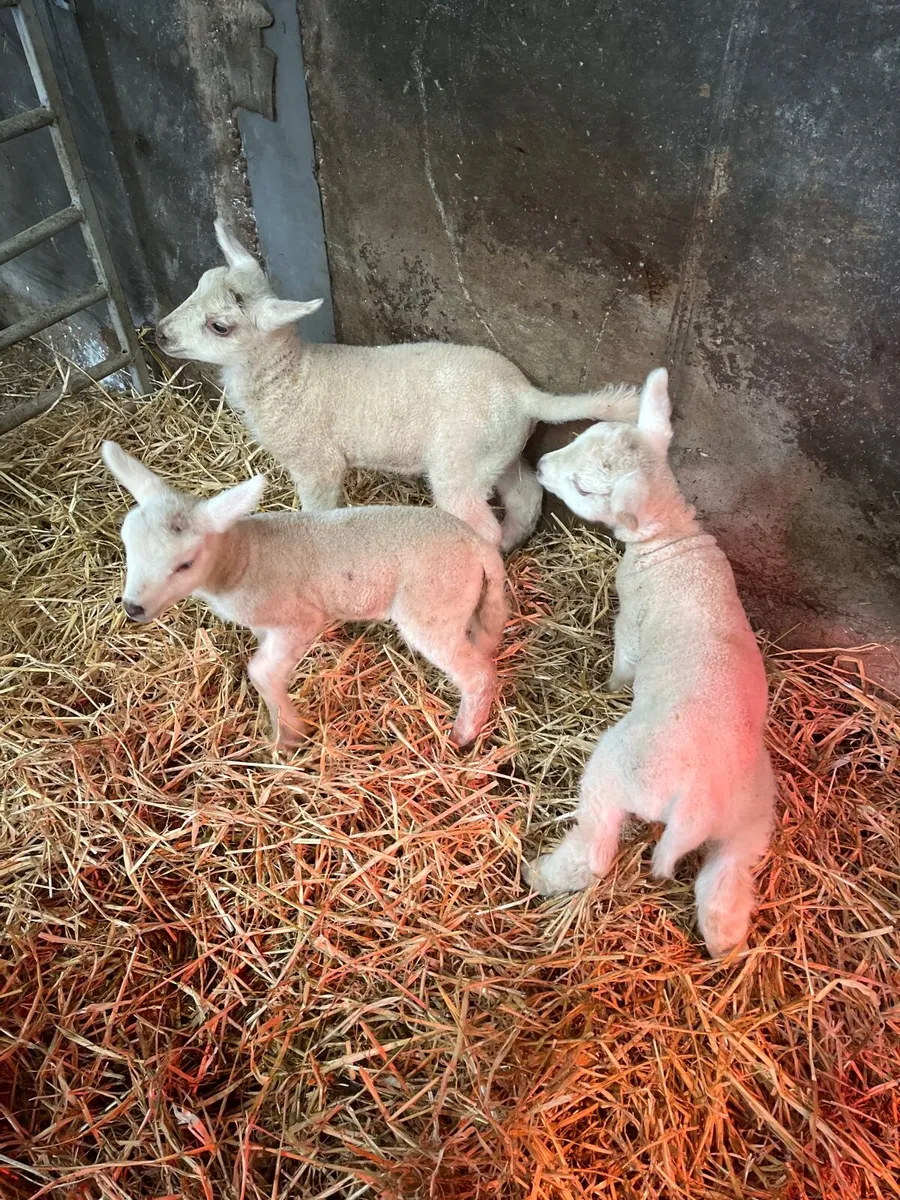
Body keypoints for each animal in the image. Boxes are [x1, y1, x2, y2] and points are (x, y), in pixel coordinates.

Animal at [101, 442, 507, 751]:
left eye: (185, 564)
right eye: (127, 545)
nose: (133, 607)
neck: (242, 560)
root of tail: (476, 544)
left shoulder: (299, 619)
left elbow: (261, 672)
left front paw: (289, 734)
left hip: (432, 605)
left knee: (478, 674)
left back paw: (463, 734)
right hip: (460, 601)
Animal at [154, 222, 640, 553]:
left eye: (220, 326)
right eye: (198, 285)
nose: (160, 334)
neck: (291, 376)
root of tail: (525, 394)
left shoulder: (316, 462)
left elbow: (318, 509)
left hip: (460, 461)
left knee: (478, 520)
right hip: (494, 450)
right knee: (525, 496)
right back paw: (508, 543)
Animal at [522, 368, 775, 957]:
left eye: (584, 488)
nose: (539, 466)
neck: (672, 540)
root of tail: (694, 806)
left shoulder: (630, 624)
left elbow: (623, 665)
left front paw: (609, 686)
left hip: (619, 771)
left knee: (595, 850)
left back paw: (542, 874)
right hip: (754, 813)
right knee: (729, 870)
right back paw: (725, 939)